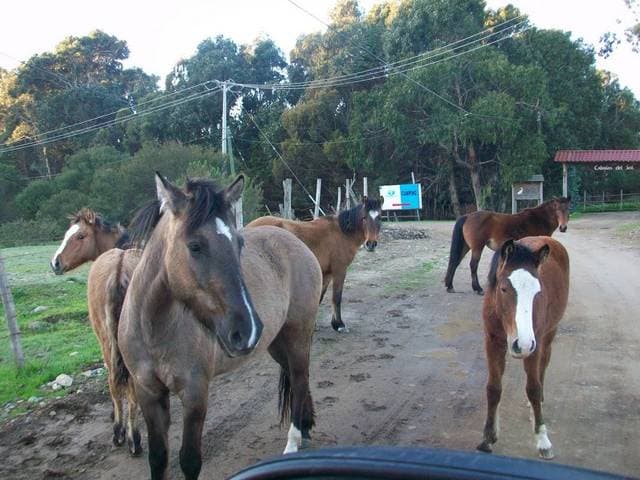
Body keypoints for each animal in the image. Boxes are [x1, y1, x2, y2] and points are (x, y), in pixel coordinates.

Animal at [118, 173, 322, 480]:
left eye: (239, 243)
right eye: (195, 246)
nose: (247, 330)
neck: (153, 331)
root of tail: (296, 241)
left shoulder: (195, 394)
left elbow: (190, 459)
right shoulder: (148, 393)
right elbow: (158, 457)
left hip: (298, 335)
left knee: (299, 380)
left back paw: (293, 442)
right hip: (277, 344)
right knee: (297, 378)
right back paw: (306, 428)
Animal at [246, 196, 383, 332]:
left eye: (379, 217)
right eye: (364, 217)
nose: (371, 244)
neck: (342, 233)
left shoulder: (327, 274)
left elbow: (320, 297)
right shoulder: (339, 270)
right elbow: (337, 297)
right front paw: (339, 325)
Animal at [476, 236, 570, 460]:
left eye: (538, 291)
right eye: (504, 288)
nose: (522, 344)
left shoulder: (533, 346)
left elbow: (533, 388)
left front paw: (542, 440)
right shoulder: (492, 342)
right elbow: (493, 388)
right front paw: (488, 437)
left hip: (548, 335)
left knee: (543, 366)